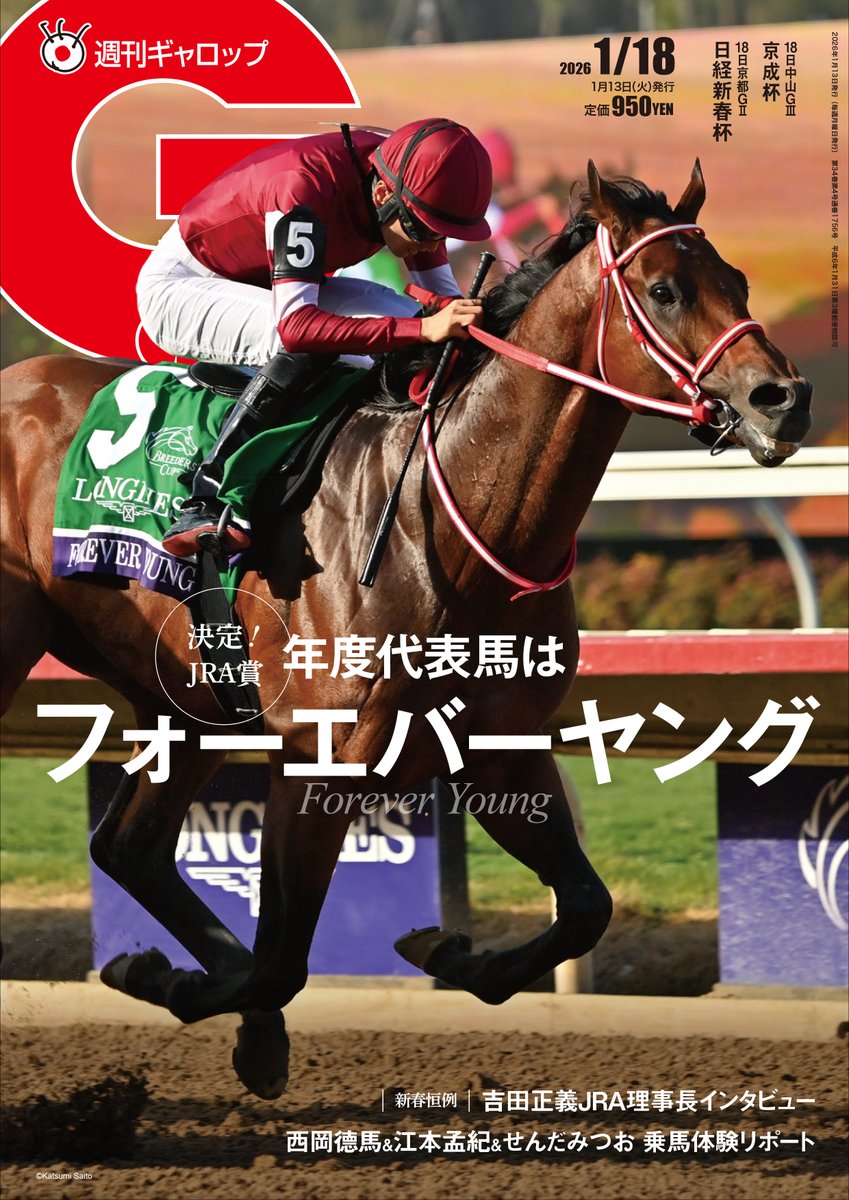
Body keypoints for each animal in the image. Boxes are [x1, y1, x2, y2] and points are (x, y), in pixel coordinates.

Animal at [0, 162, 812, 1099]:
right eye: (664, 290)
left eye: (738, 282)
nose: (783, 399)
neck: (456, 514)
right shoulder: (316, 761)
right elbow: (280, 961)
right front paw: (179, 986)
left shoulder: (498, 750)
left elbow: (584, 907)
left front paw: (447, 954)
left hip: (187, 701)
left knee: (128, 846)